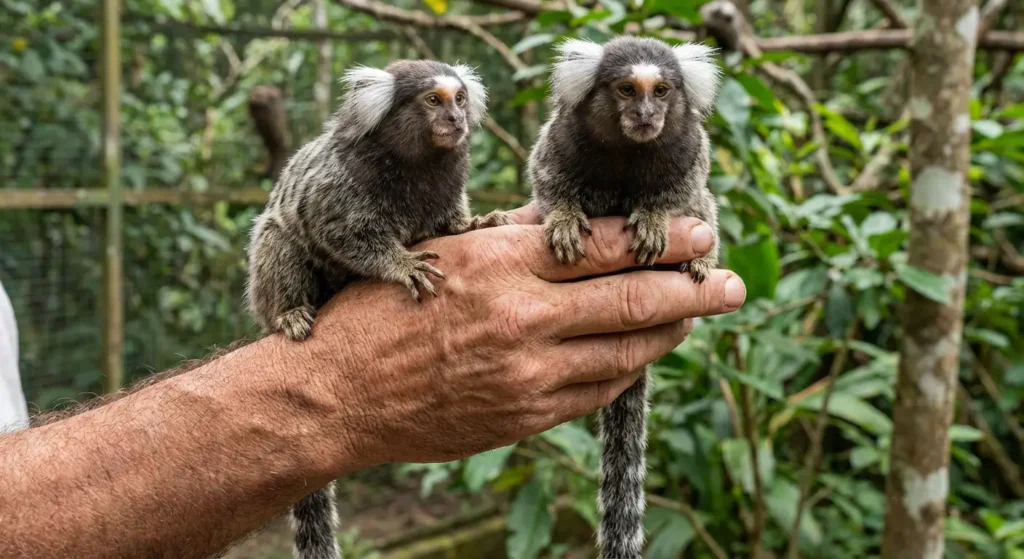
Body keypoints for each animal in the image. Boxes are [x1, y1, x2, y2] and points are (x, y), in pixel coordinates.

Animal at [245, 59, 510, 559]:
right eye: (433, 101)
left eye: (460, 98)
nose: (455, 119)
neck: (416, 164)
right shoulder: (341, 188)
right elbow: (339, 231)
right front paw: (400, 263)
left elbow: (449, 223)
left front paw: (476, 223)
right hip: (267, 283)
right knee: (279, 239)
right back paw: (289, 312)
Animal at [527, 36, 722, 558]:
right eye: (627, 90)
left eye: (662, 90)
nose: (647, 114)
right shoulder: (558, 144)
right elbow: (548, 184)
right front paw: (564, 218)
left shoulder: (690, 156)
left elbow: (686, 197)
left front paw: (655, 219)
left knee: (706, 206)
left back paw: (700, 261)